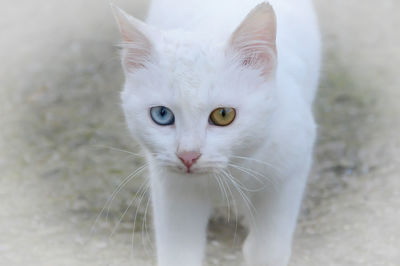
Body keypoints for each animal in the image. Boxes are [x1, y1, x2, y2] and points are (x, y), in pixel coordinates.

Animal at [111, 0, 320, 264]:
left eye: (223, 115)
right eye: (162, 115)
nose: (188, 155)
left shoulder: (288, 171)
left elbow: (268, 249)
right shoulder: (173, 188)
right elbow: (179, 253)